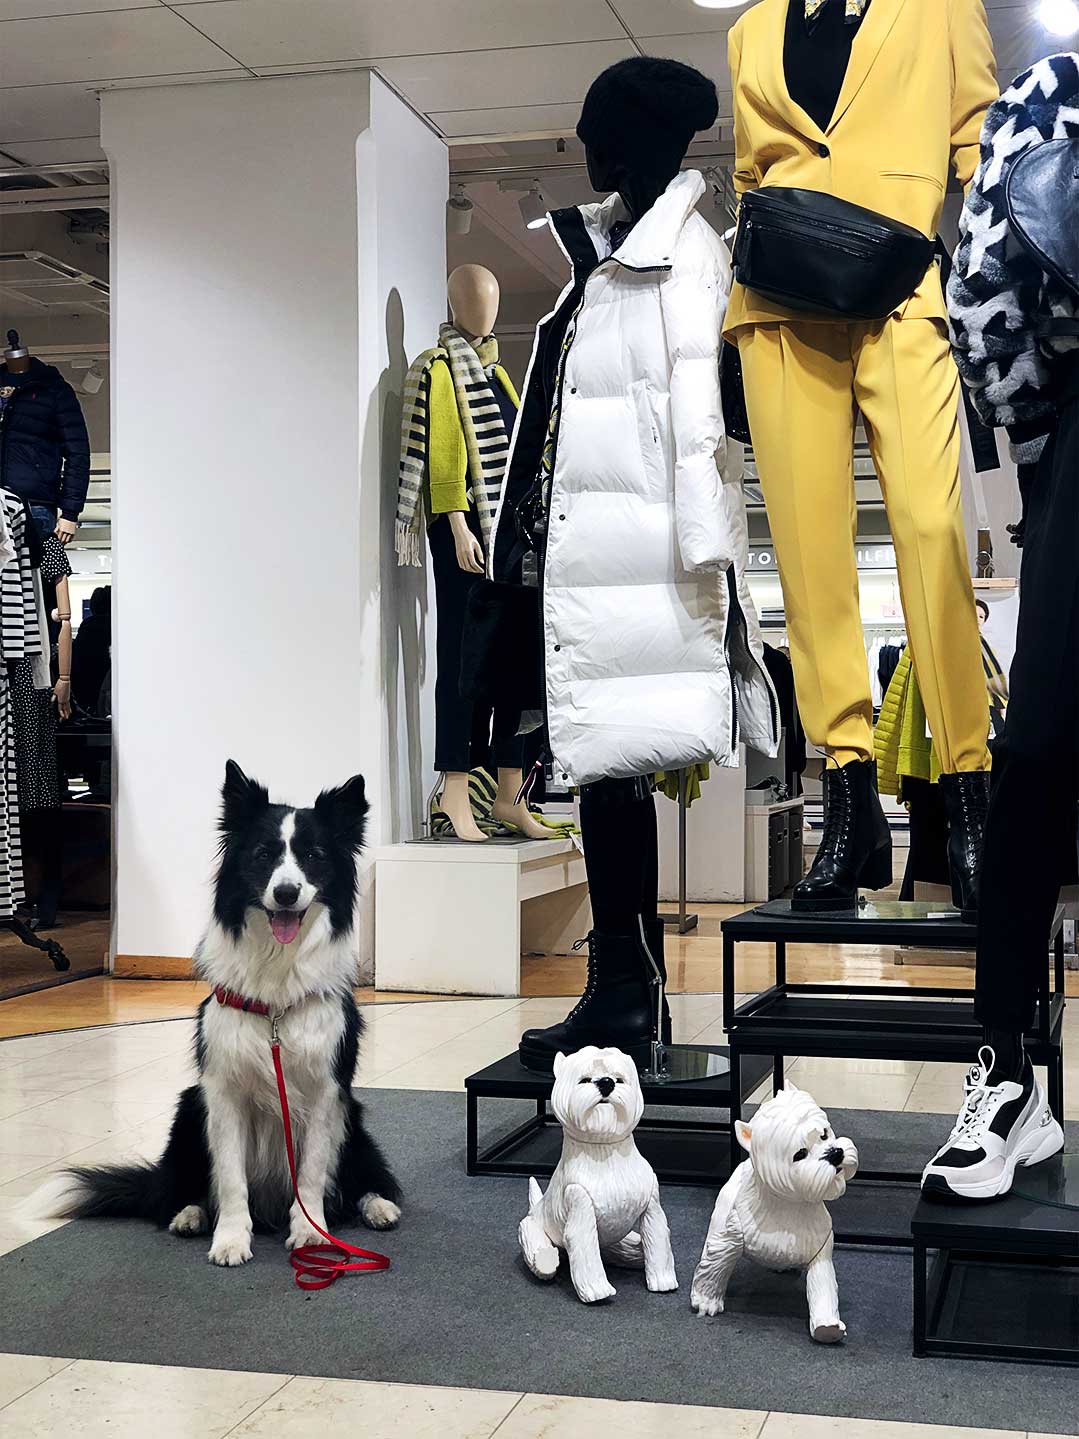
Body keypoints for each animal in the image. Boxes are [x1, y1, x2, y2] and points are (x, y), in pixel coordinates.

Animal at [38, 759, 402, 1266]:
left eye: (314, 855)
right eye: (263, 855)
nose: (285, 893)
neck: (276, 990)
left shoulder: (327, 1092)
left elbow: (311, 1174)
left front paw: (311, 1235)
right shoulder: (223, 1092)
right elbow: (230, 1177)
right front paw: (230, 1239)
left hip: (355, 1118)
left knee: (361, 1181)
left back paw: (378, 1206)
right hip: (189, 1109)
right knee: (175, 1193)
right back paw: (188, 1215)